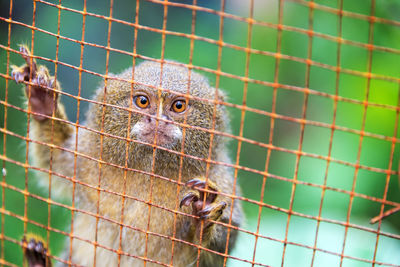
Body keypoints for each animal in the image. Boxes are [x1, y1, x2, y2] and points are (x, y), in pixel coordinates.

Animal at [11, 45, 244, 267]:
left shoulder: (221, 180)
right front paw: (43, 100)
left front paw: (202, 216)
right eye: (142, 101)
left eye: (178, 106)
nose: (158, 120)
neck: (148, 172)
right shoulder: (89, 156)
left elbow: (218, 250)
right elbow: (55, 158)